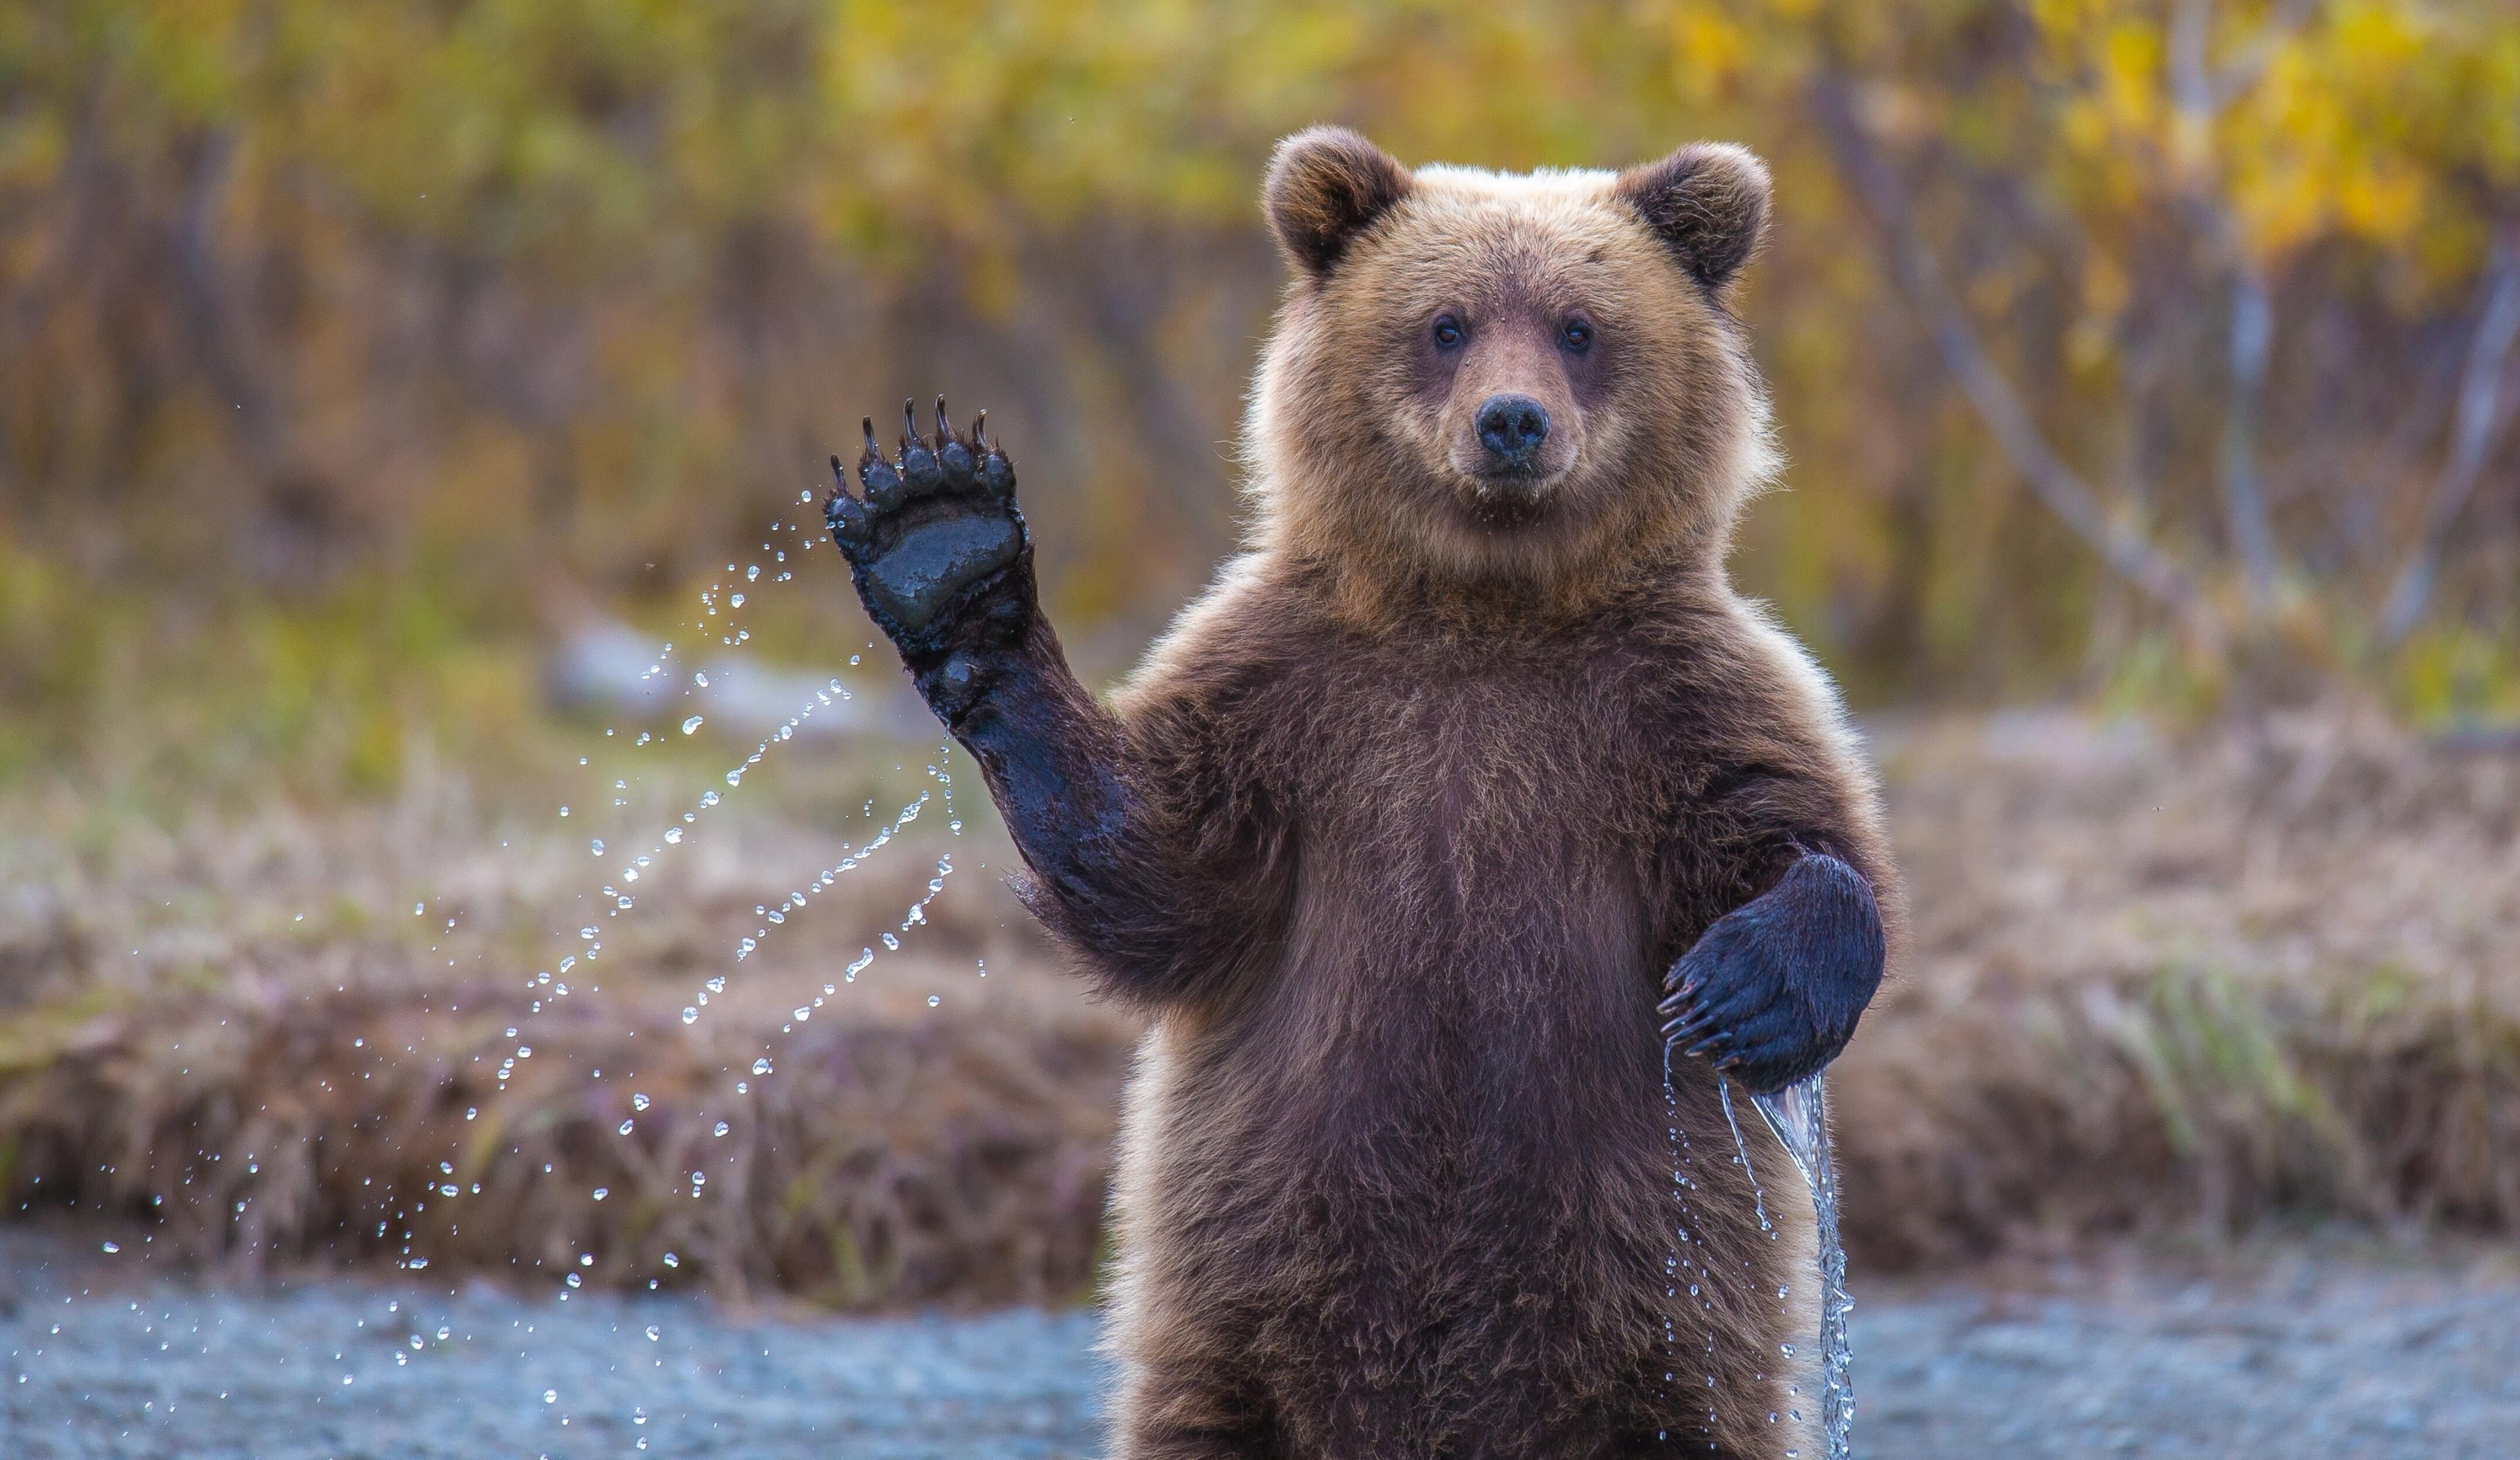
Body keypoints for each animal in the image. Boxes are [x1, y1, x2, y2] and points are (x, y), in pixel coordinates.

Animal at [823, 127, 1899, 1460]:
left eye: (1580, 325)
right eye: (1446, 323)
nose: (1511, 422)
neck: (1486, 608)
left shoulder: (1676, 702)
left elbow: (1799, 831)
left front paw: (1742, 989)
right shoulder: (1295, 702)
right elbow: (1158, 872)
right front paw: (941, 537)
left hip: (1665, 1321)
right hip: (1237, 1314)